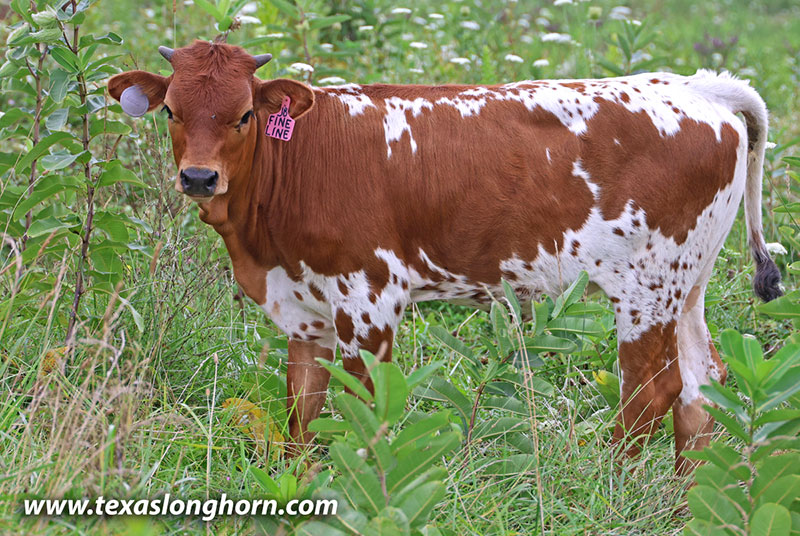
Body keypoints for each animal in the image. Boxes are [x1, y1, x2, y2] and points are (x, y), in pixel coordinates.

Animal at [108, 40, 782, 474]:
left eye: (246, 115)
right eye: (171, 111)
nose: (199, 177)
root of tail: (693, 86)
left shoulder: (369, 296)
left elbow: (363, 407)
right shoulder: (303, 309)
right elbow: (305, 409)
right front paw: (300, 485)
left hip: (645, 287)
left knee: (652, 389)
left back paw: (607, 481)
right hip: (686, 286)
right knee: (701, 387)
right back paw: (682, 502)